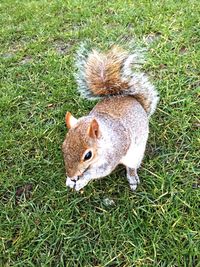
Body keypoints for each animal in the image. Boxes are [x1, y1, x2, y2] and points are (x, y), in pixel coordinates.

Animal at [61, 45, 159, 193]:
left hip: (135, 155)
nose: (72, 175)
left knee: (131, 167)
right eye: (63, 146)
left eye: (88, 155)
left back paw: (132, 178)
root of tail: (134, 101)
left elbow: (98, 172)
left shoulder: (112, 155)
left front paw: (82, 180)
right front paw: (69, 180)